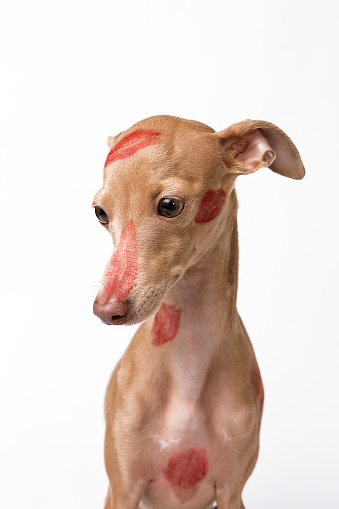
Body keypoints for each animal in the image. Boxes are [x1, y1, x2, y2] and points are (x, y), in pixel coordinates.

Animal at [92, 115, 306, 508]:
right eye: (101, 213)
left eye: (169, 205)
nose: (105, 310)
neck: (187, 363)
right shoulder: (123, 488)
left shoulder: (232, 490)